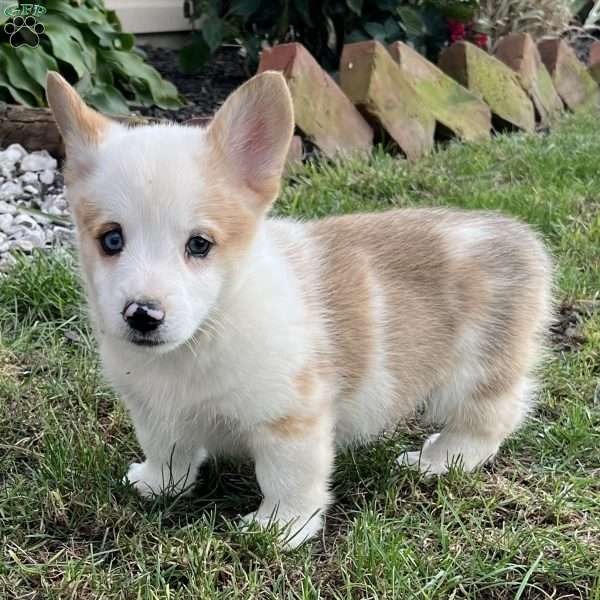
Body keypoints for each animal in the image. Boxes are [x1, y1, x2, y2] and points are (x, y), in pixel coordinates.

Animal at [47, 70, 552, 548]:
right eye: (111, 239)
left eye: (199, 244)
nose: (142, 315)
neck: (202, 339)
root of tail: (522, 239)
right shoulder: (155, 413)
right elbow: (168, 454)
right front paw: (155, 486)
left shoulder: (290, 420)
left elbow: (287, 480)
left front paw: (279, 529)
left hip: (473, 376)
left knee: (489, 421)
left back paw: (438, 460)